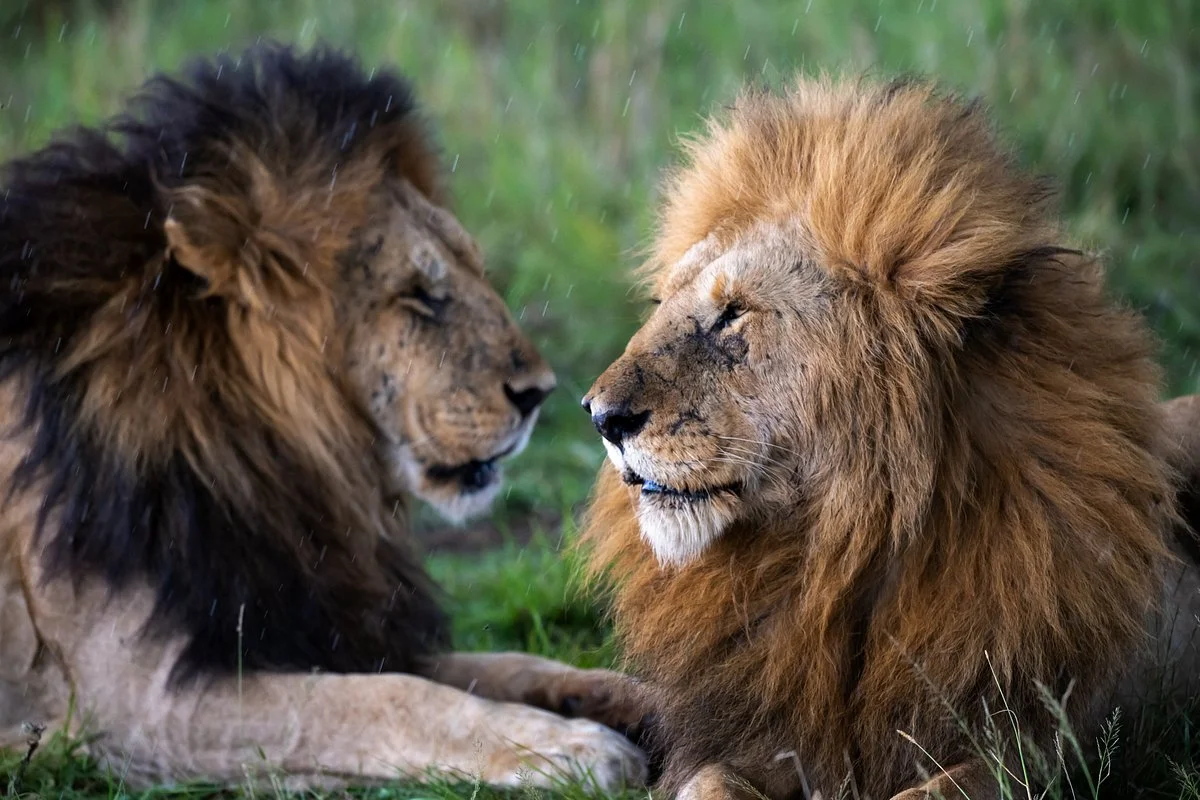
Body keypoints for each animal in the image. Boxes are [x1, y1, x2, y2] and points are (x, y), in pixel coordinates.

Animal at [0, 43, 647, 792]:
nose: (540, 393)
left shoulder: (330, 619)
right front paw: (565, 748)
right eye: (419, 296)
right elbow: (394, 700)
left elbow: (510, 666)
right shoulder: (138, 701)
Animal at [579, 75, 1200, 800]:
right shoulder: (763, 736)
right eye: (662, 305)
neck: (838, 551)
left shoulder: (1050, 745)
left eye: (735, 313)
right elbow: (710, 785)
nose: (598, 415)